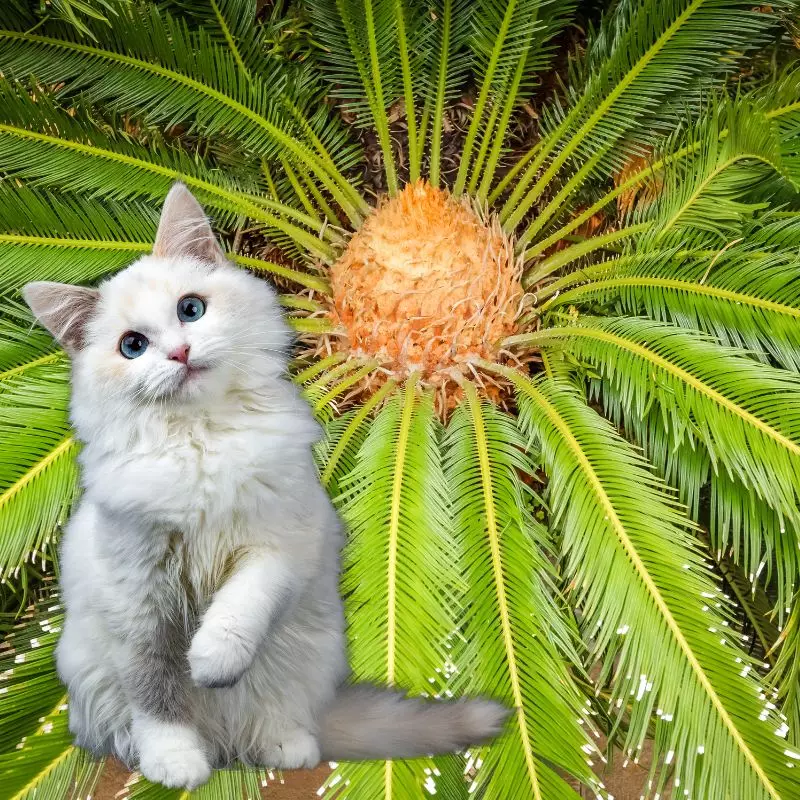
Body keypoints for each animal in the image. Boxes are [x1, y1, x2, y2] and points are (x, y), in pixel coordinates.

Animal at [25, 184, 506, 792]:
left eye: (190, 309)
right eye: (132, 346)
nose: (179, 353)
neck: (201, 441)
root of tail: (226, 743)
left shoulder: (279, 544)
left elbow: (239, 609)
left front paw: (209, 662)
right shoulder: (139, 600)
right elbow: (158, 695)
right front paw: (175, 763)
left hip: (304, 652)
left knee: (279, 713)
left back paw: (284, 746)